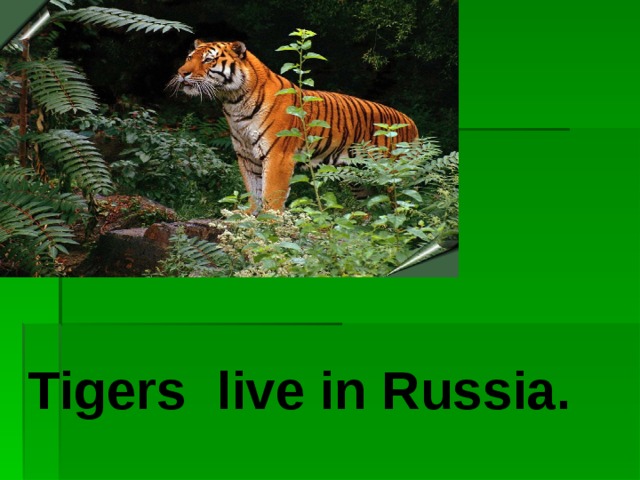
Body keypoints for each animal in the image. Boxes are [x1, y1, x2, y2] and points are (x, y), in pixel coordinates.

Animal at [168, 40, 419, 212]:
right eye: (189, 57)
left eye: (208, 60)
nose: (181, 73)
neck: (234, 103)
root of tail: (411, 122)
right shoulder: (247, 157)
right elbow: (253, 189)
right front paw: (249, 215)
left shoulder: (278, 155)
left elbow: (271, 193)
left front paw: (269, 222)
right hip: (358, 177)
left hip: (394, 174)